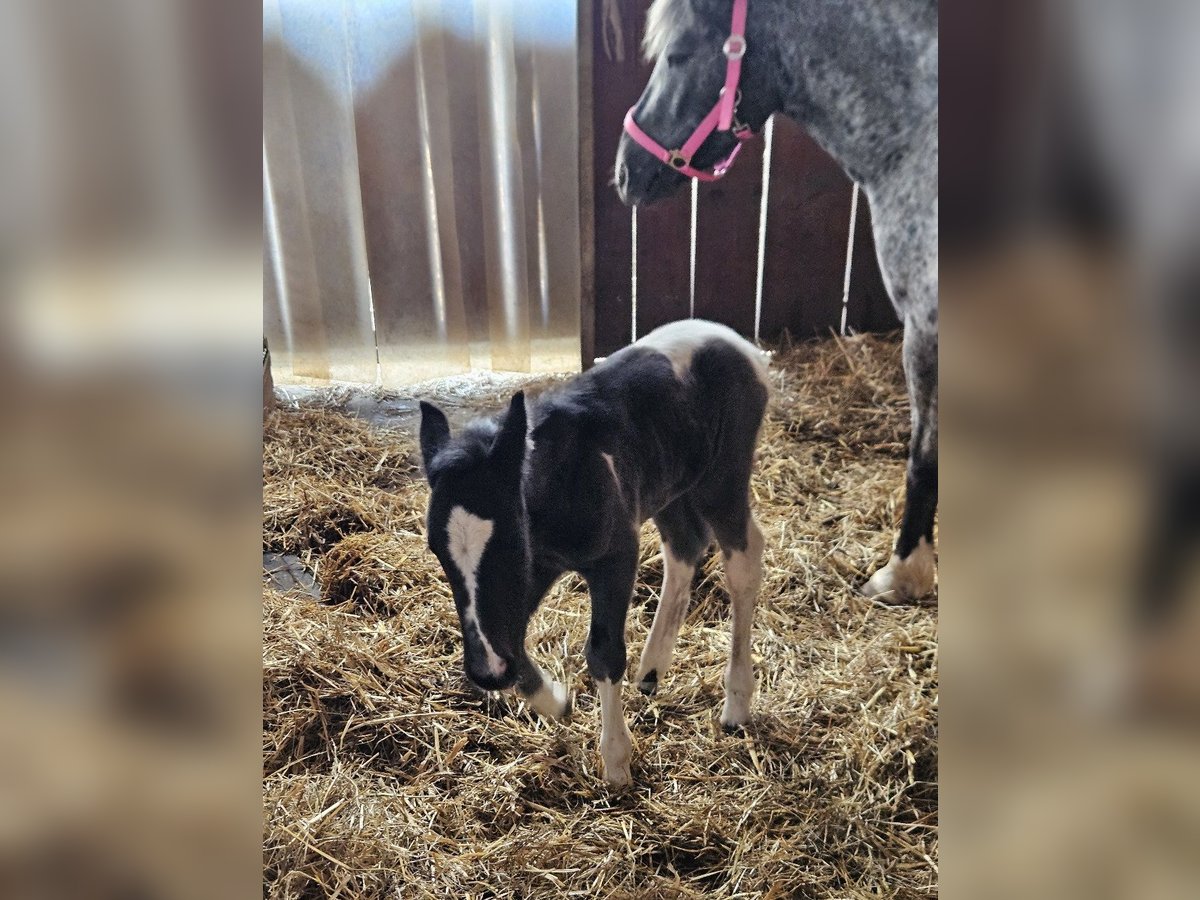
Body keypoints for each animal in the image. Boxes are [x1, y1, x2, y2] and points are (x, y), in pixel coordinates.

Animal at [419, 320, 769, 784]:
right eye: (435, 550)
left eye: (510, 538)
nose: (486, 672)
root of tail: (737, 342)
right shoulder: (534, 571)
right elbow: (512, 635)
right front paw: (556, 700)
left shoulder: (614, 556)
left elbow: (603, 652)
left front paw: (616, 761)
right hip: (669, 485)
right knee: (685, 545)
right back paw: (651, 670)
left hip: (722, 477)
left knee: (743, 561)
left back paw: (736, 702)